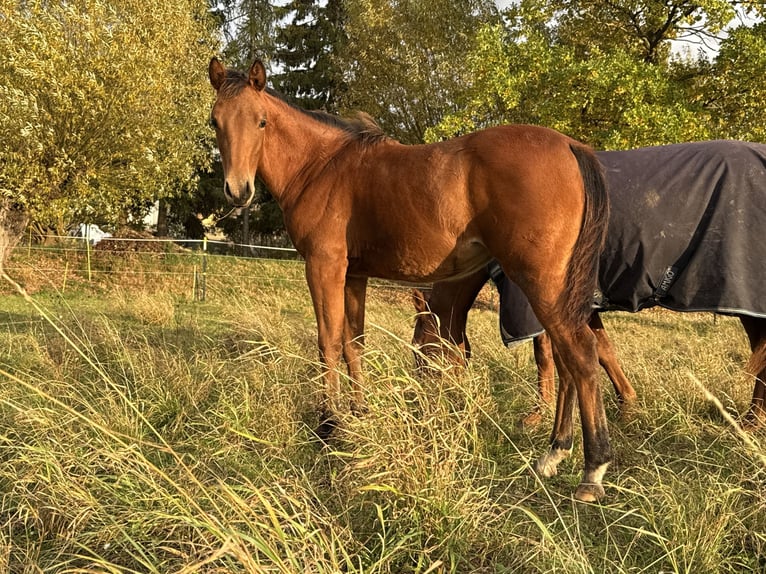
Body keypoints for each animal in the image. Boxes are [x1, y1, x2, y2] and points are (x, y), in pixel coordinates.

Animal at [208, 58, 612, 501]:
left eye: (261, 121)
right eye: (215, 121)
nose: (238, 190)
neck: (322, 166)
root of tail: (571, 146)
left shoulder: (323, 266)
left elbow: (327, 342)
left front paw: (328, 425)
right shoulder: (354, 275)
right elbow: (353, 342)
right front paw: (359, 412)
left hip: (542, 283)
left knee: (580, 355)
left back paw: (591, 470)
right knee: (567, 359)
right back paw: (554, 453)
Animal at [413, 140, 766, 482]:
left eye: (419, 349)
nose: (422, 406)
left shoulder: (539, 306)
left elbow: (547, 358)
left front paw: (538, 417)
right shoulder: (581, 308)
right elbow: (602, 352)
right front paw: (627, 408)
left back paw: (751, 422)